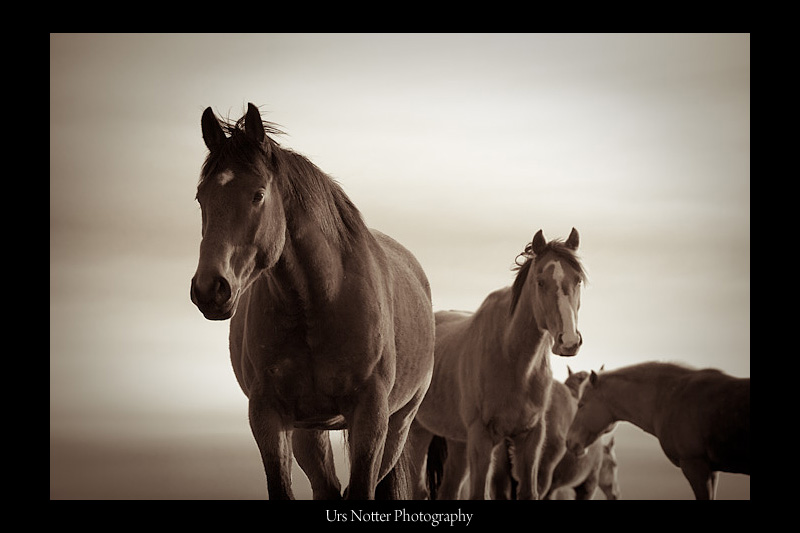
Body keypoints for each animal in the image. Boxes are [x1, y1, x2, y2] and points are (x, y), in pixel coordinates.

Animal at [190, 104, 434, 498]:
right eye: (201, 197)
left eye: (258, 194)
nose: (211, 289)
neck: (320, 301)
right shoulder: (268, 416)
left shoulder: (371, 415)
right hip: (310, 431)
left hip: (398, 426)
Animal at [410, 229, 584, 498]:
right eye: (540, 282)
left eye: (577, 280)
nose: (569, 341)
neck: (512, 361)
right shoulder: (481, 438)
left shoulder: (530, 438)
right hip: (416, 433)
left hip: (458, 442)